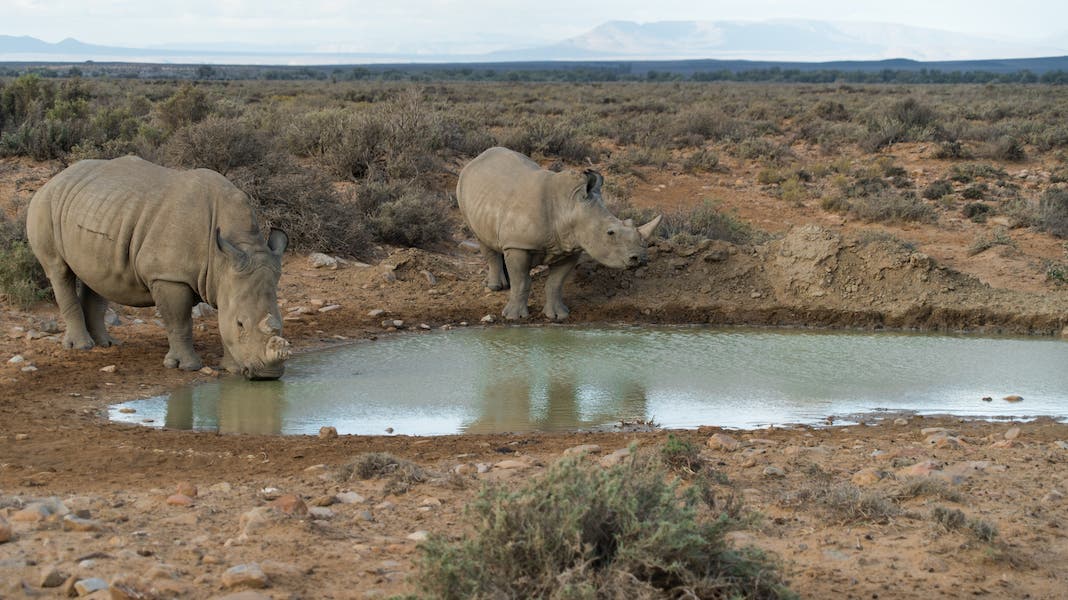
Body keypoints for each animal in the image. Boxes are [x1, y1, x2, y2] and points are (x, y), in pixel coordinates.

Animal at [27, 156, 291, 380]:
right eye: (241, 324)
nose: (268, 375)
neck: (227, 254)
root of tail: (53, 180)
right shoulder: (169, 276)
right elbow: (179, 321)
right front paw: (187, 366)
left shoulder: (227, 277)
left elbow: (222, 318)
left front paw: (232, 368)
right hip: (45, 205)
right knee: (58, 271)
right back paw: (82, 347)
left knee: (97, 277)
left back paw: (107, 344)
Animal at [457, 147, 661, 320]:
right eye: (610, 232)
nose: (640, 258)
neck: (570, 205)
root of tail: (476, 159)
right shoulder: (519, 245)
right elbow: (522, 282)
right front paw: (514, 317)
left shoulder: (570, 247)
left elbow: (555, 283)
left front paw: (558, 316)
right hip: (463, 187)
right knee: (481, 237)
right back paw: (495, 287)